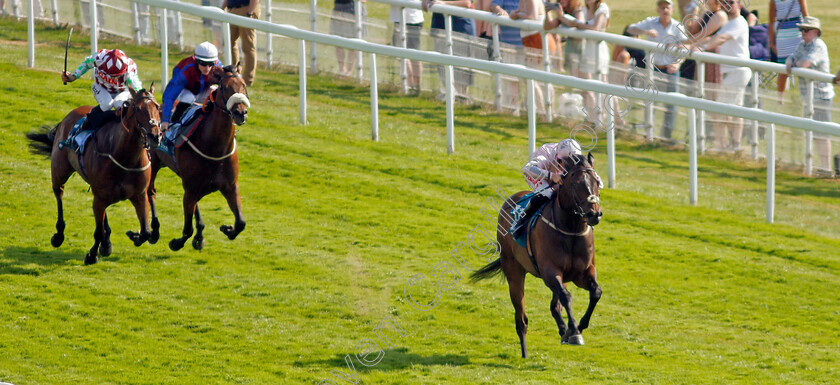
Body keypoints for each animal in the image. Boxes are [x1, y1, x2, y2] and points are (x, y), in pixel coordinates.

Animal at [27, 85, 164, 262]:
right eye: (138, 109)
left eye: (158, 107)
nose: (155, 136)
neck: (124, 157)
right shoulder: (100, 197)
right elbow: (98, 231)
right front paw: (92, 255)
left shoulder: (138, 195)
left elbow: (146, 232)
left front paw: (134, 235)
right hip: (60, 170)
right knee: (59, 193)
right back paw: (59, 235)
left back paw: (106, 244)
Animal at [148, 64, 249, 250]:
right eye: (224, 87)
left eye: (244, 85)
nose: (241, 113)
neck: (215, 148)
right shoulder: (191, 188)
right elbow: (187, 229)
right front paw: (176, 242)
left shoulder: (230, 186)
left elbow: (240, 223)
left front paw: (227, 228)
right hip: (153, 164)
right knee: (150, 192)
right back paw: (153, 231)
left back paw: (199, 234)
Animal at [472, 152, 604, 356]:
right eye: (575, 184)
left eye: (597, 181)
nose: (594, 214)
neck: (570, 229)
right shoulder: (549, 271)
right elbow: (566, 297)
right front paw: (574, 332)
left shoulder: (581, 273)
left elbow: (595, 292)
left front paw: (578, 327)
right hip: (514, 272)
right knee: (521, 318)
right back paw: (525, 352)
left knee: (555, 305)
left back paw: (563, 330)